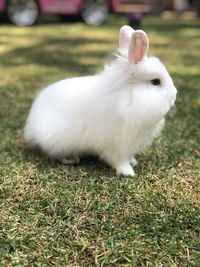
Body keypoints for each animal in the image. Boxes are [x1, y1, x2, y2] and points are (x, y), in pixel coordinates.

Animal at [23, 24, 177, 176]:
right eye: (156, 82)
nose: (174, 95)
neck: (128, 97)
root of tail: (31, 124)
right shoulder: (117, 145)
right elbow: (119, 160)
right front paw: (128, 172)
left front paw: (133, 162)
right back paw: (71, 159)